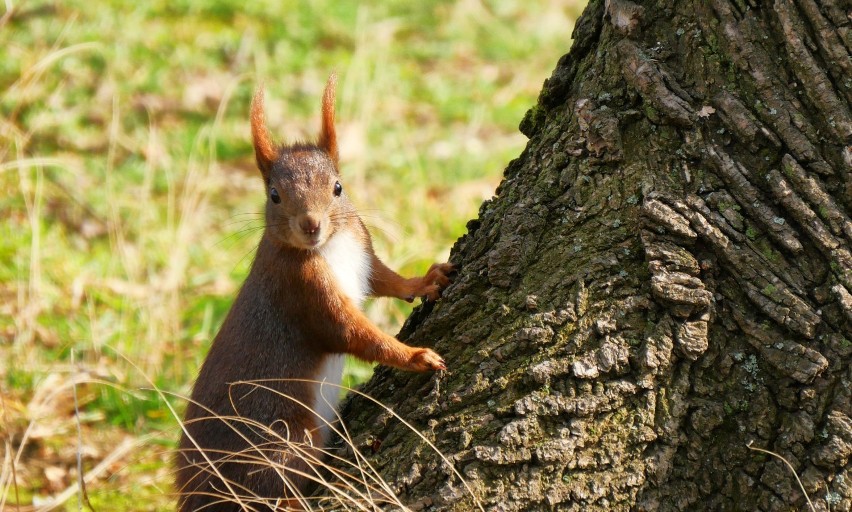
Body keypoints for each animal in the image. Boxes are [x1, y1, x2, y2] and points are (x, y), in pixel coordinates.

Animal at [176, 73, 456, 512]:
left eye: (338, 187)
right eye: (274, 195)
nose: (311, 224)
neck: (329, 247)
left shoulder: (363, 253)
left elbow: (385, 281)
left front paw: (426, 281)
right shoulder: (304, 293)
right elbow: (354, 334)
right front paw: (415, 357)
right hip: (285, 440)